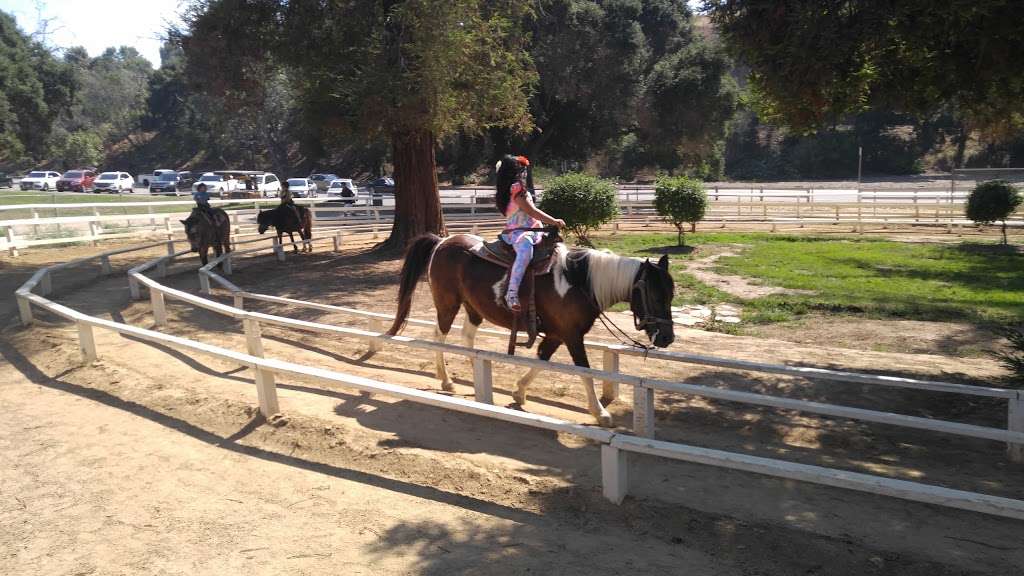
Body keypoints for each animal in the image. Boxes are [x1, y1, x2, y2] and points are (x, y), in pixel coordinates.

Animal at [387, 233, 675, 426]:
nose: (667, 338)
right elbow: (585, 372)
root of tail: (442, 241)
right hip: (448, 304)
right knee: (439, 337)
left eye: (671, 295)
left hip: (473, 309)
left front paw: (519, 391)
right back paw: (446, 380)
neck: (579, 282)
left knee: (466, 337)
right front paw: (600, 413)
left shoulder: (558, 335)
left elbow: (541, 361)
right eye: (655, 295)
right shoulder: (572, 337)